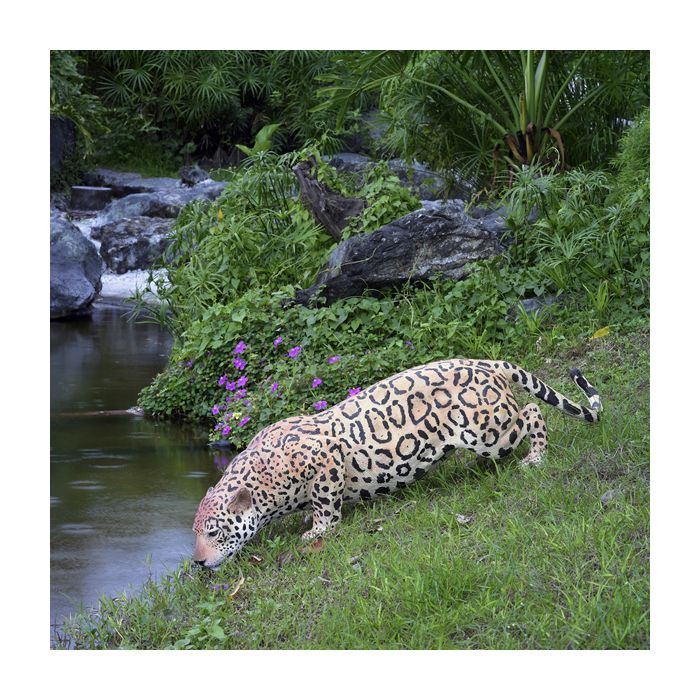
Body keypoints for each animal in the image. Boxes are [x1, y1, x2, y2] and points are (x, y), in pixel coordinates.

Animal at [193, 358, 601, 568]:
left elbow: (325, 503)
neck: (263, 483)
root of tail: (485, 361)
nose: (196, 562)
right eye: (195, 534)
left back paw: (536, 456)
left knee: (531, 412)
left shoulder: (326, 462)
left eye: (213, 532)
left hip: (490, 432)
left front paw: (318, 530)